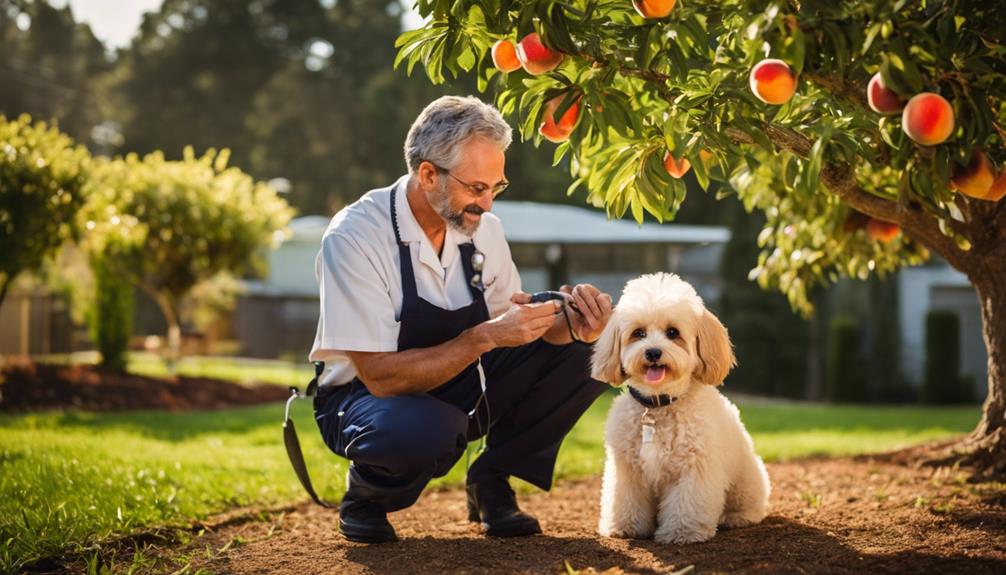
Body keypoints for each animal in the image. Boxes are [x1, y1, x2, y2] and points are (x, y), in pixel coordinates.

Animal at [587, 273, 768, 542]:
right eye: (639, 333)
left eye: (672, 332)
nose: (653, 352)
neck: (658, 405)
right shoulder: (627, 469)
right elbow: (627, 500)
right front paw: (626, 526)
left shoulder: (694, 468)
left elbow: (687, 503)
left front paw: (682, 532)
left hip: (746, 482)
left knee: (751, 507)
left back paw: (736, 517)